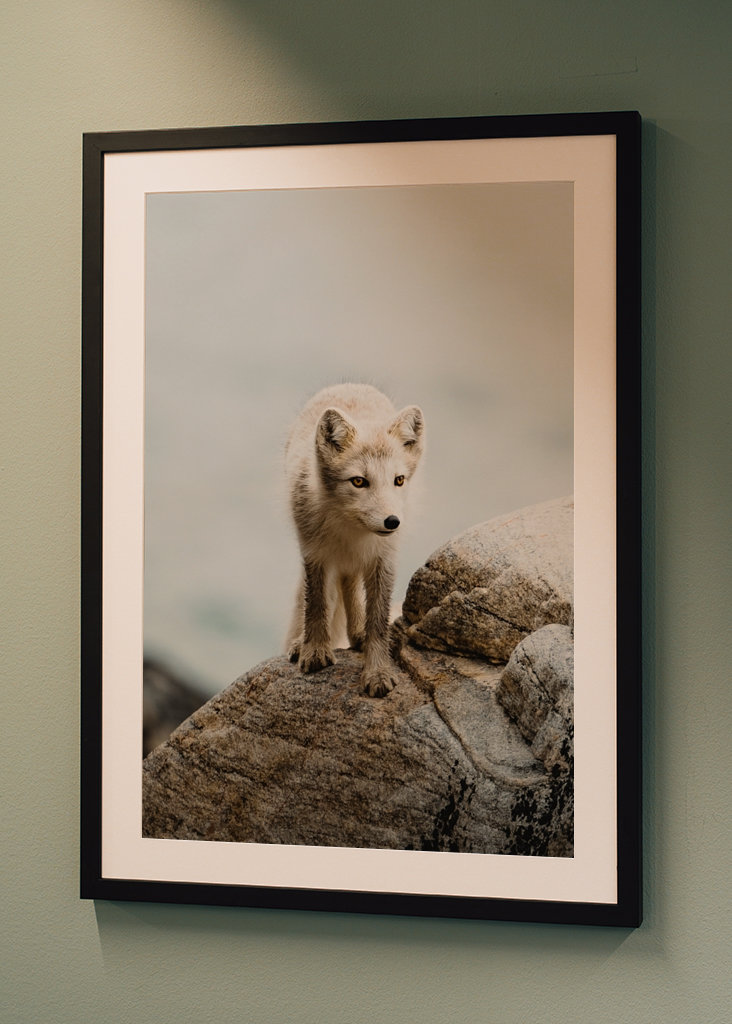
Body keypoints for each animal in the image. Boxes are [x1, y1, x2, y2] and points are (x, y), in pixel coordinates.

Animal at [285, 383, 425, 697]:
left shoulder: (384, 559)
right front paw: (314, 650)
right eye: (359, 481)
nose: (392, 522)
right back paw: (301, 642)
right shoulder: (315, 553)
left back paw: (357, 633)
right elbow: (316, 604)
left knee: (350, 586)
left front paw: (378, 672)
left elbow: (379, 621)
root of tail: (351, 385)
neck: (352, 530)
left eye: (398, 480)